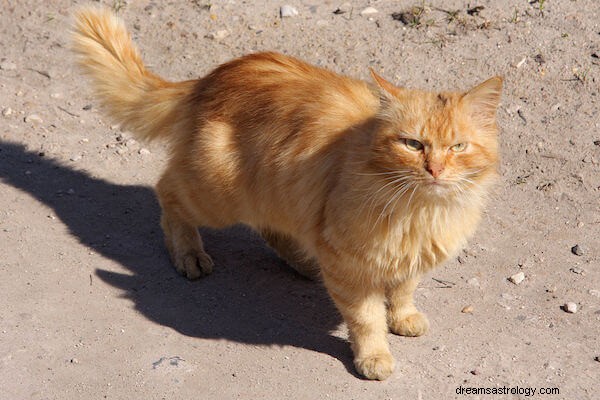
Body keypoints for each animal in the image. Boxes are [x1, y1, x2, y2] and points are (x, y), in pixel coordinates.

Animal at [70, 7, 502, 382]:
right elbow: (366, 319)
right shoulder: (349, 266)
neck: (422, 211)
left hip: (275, 194)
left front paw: (402, 317)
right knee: (167, 192)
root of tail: (211, 79)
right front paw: (374, 356)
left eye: (458, 147)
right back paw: (189, 254)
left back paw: (304, 264)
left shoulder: (406, 258)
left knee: (269, 227)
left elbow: (402, 290)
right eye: (413, 144)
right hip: (217, 194)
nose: (435, 170)